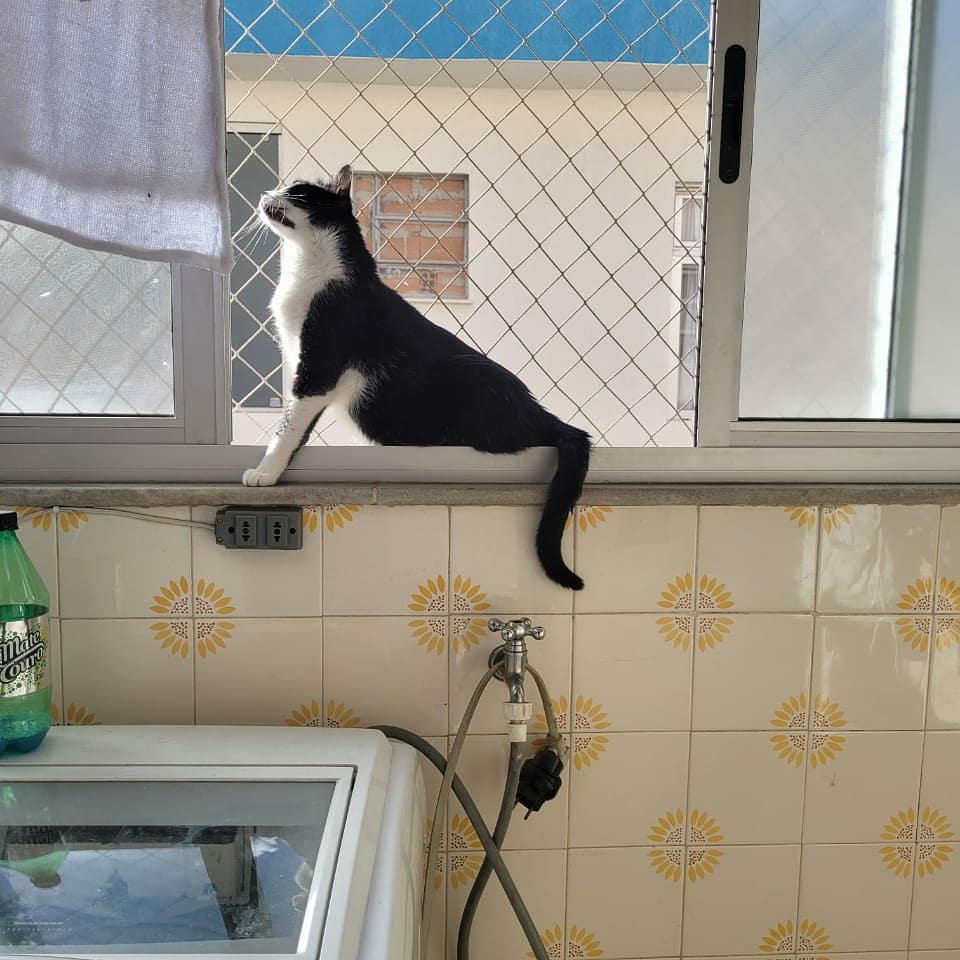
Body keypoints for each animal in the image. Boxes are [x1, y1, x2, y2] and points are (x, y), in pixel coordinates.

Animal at [243, 165, 591, 590]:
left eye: (297, 191)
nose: (265, 193)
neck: (309, 269)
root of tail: (540, 411)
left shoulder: (316, 367)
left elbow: (287, 425)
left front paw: (265, 472)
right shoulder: (306, 371)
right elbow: (298, 424)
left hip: (466, 375)